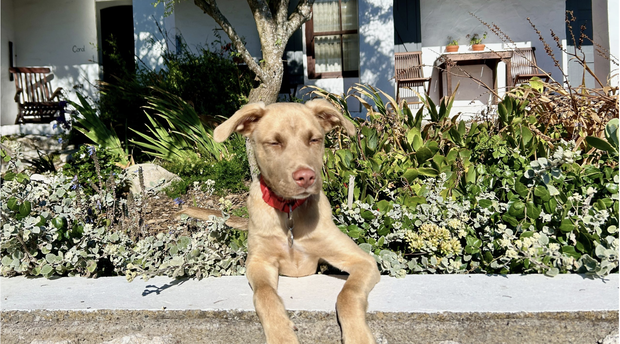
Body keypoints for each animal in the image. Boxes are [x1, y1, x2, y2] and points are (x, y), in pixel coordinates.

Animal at [182, 99, 380, 344]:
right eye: (274, 142)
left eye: (314, 139)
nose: (306, 177)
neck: (290, 212)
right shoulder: (259, 262)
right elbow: (265, 294)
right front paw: (281, 335)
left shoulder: (364, 261)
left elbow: (348, 293)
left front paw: (358, 335)